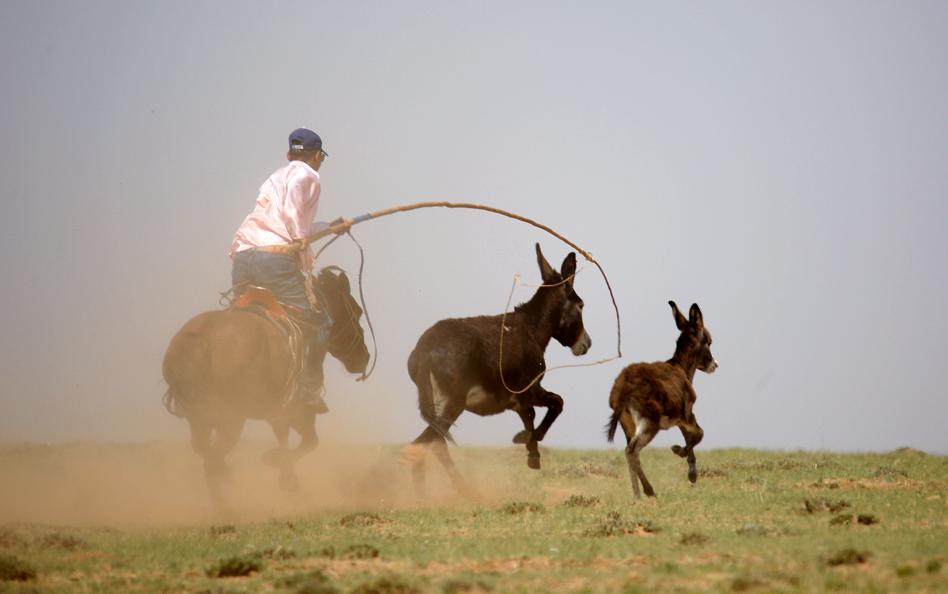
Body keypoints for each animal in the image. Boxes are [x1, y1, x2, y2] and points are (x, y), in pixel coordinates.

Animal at [163, 268, 370, 494]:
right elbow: (308, 441)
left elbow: (289, 438)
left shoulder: (277, 411)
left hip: (201, 417)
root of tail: (200, 340)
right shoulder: (296, 410)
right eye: (357, 311)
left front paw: (285, 474)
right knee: (213, 460)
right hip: (231, 419)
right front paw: (279, 467)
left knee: (207, 454)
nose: (364, 357)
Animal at [608, 300, 720, 494]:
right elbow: (699, 434)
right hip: (649, 424)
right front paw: (678, 451)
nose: (715, 365)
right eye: (709, 341)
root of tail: (622, 391)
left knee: (630, 452)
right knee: (631, 451)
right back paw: (648, 491)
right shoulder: (687, 415)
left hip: (629, 425)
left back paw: (637, 494)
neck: (680, 367)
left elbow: (691, 437)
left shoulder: (681, 421)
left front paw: (692, 474)